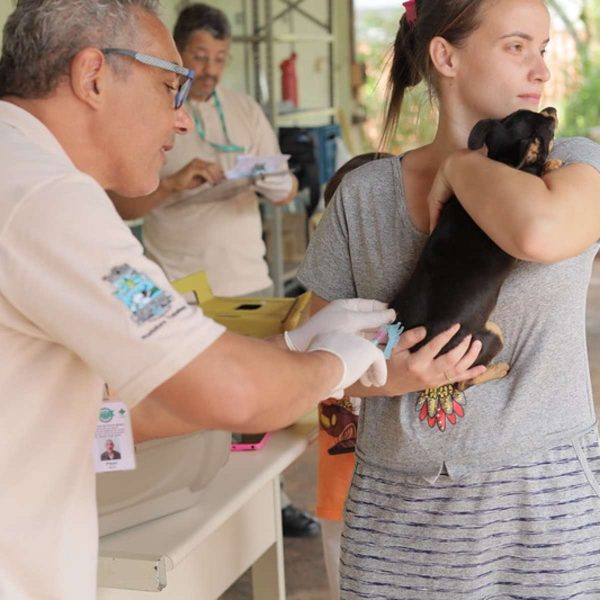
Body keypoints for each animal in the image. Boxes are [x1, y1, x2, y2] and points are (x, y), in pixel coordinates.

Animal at [392, 108, 560, 426]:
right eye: (548, 126)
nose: (552, 110)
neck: (502, 163)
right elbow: (538, 170)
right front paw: (552, 163)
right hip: (490, 336)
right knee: (465, 380)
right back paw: (500, 368)